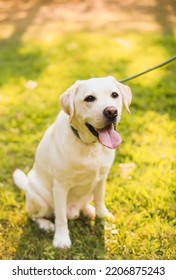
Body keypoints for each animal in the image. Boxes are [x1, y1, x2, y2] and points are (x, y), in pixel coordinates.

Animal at [13, 75, 132, 248]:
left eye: (114, 95)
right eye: (89, 98)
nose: (111, 111)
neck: (89, 145)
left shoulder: (101, 178)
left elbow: (100, 200)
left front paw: (103, 215)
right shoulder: (60, 186)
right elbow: (61, 217)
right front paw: (61, 239)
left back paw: (89, 210)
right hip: (39, 199)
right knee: (36, 216)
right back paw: (46, 224)